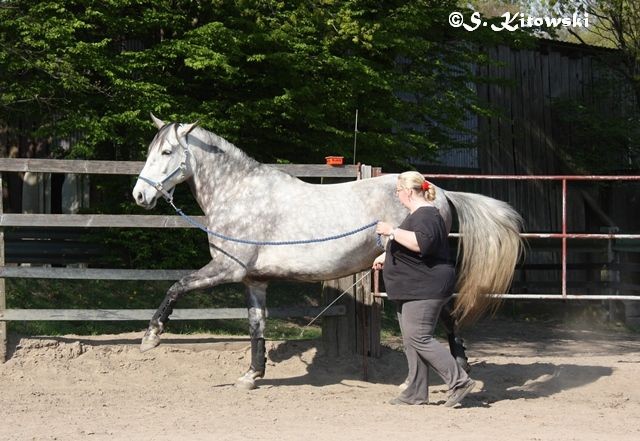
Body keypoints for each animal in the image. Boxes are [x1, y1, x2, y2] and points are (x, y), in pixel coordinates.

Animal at [132, 114, 524, 388]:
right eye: (149, 152)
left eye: (166, 152)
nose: (139, 195)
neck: (241, 194)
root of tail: (438, 191)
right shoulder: (254, 281)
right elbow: (257, 325)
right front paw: (252, 375)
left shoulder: (227, 269)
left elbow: (177, 286)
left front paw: (151, 337)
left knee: (445, 316)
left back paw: (457, 373)